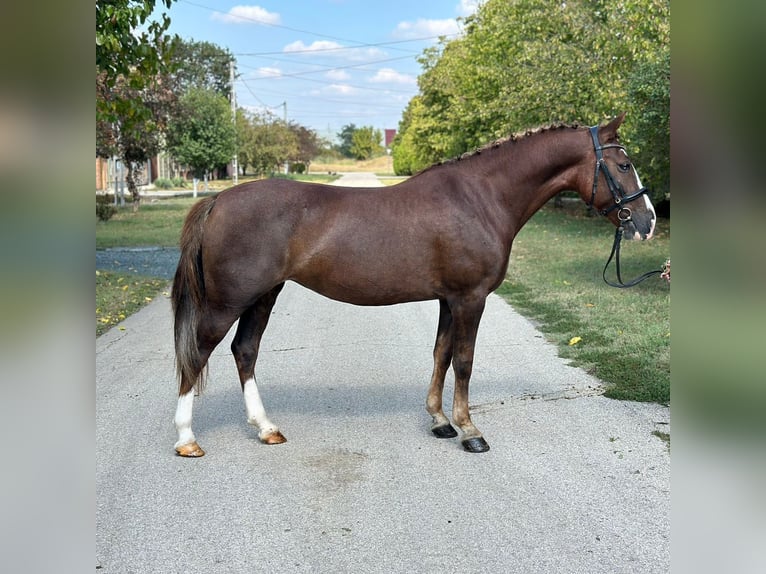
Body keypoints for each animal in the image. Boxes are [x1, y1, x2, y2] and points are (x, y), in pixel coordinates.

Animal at [171, 112, 656, 456]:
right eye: (624, 164)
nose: (648, 222)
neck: (480, 198)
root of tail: (218, 200)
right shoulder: (470, 299)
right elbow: (464, 360)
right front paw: (470, 431)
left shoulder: (447, 299)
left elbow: (441, 354)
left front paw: (440, 422)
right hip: (227, 303)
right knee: (198, 354)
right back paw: (187, 440)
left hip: (263, 297)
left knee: (245, 351)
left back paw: (266, 428)